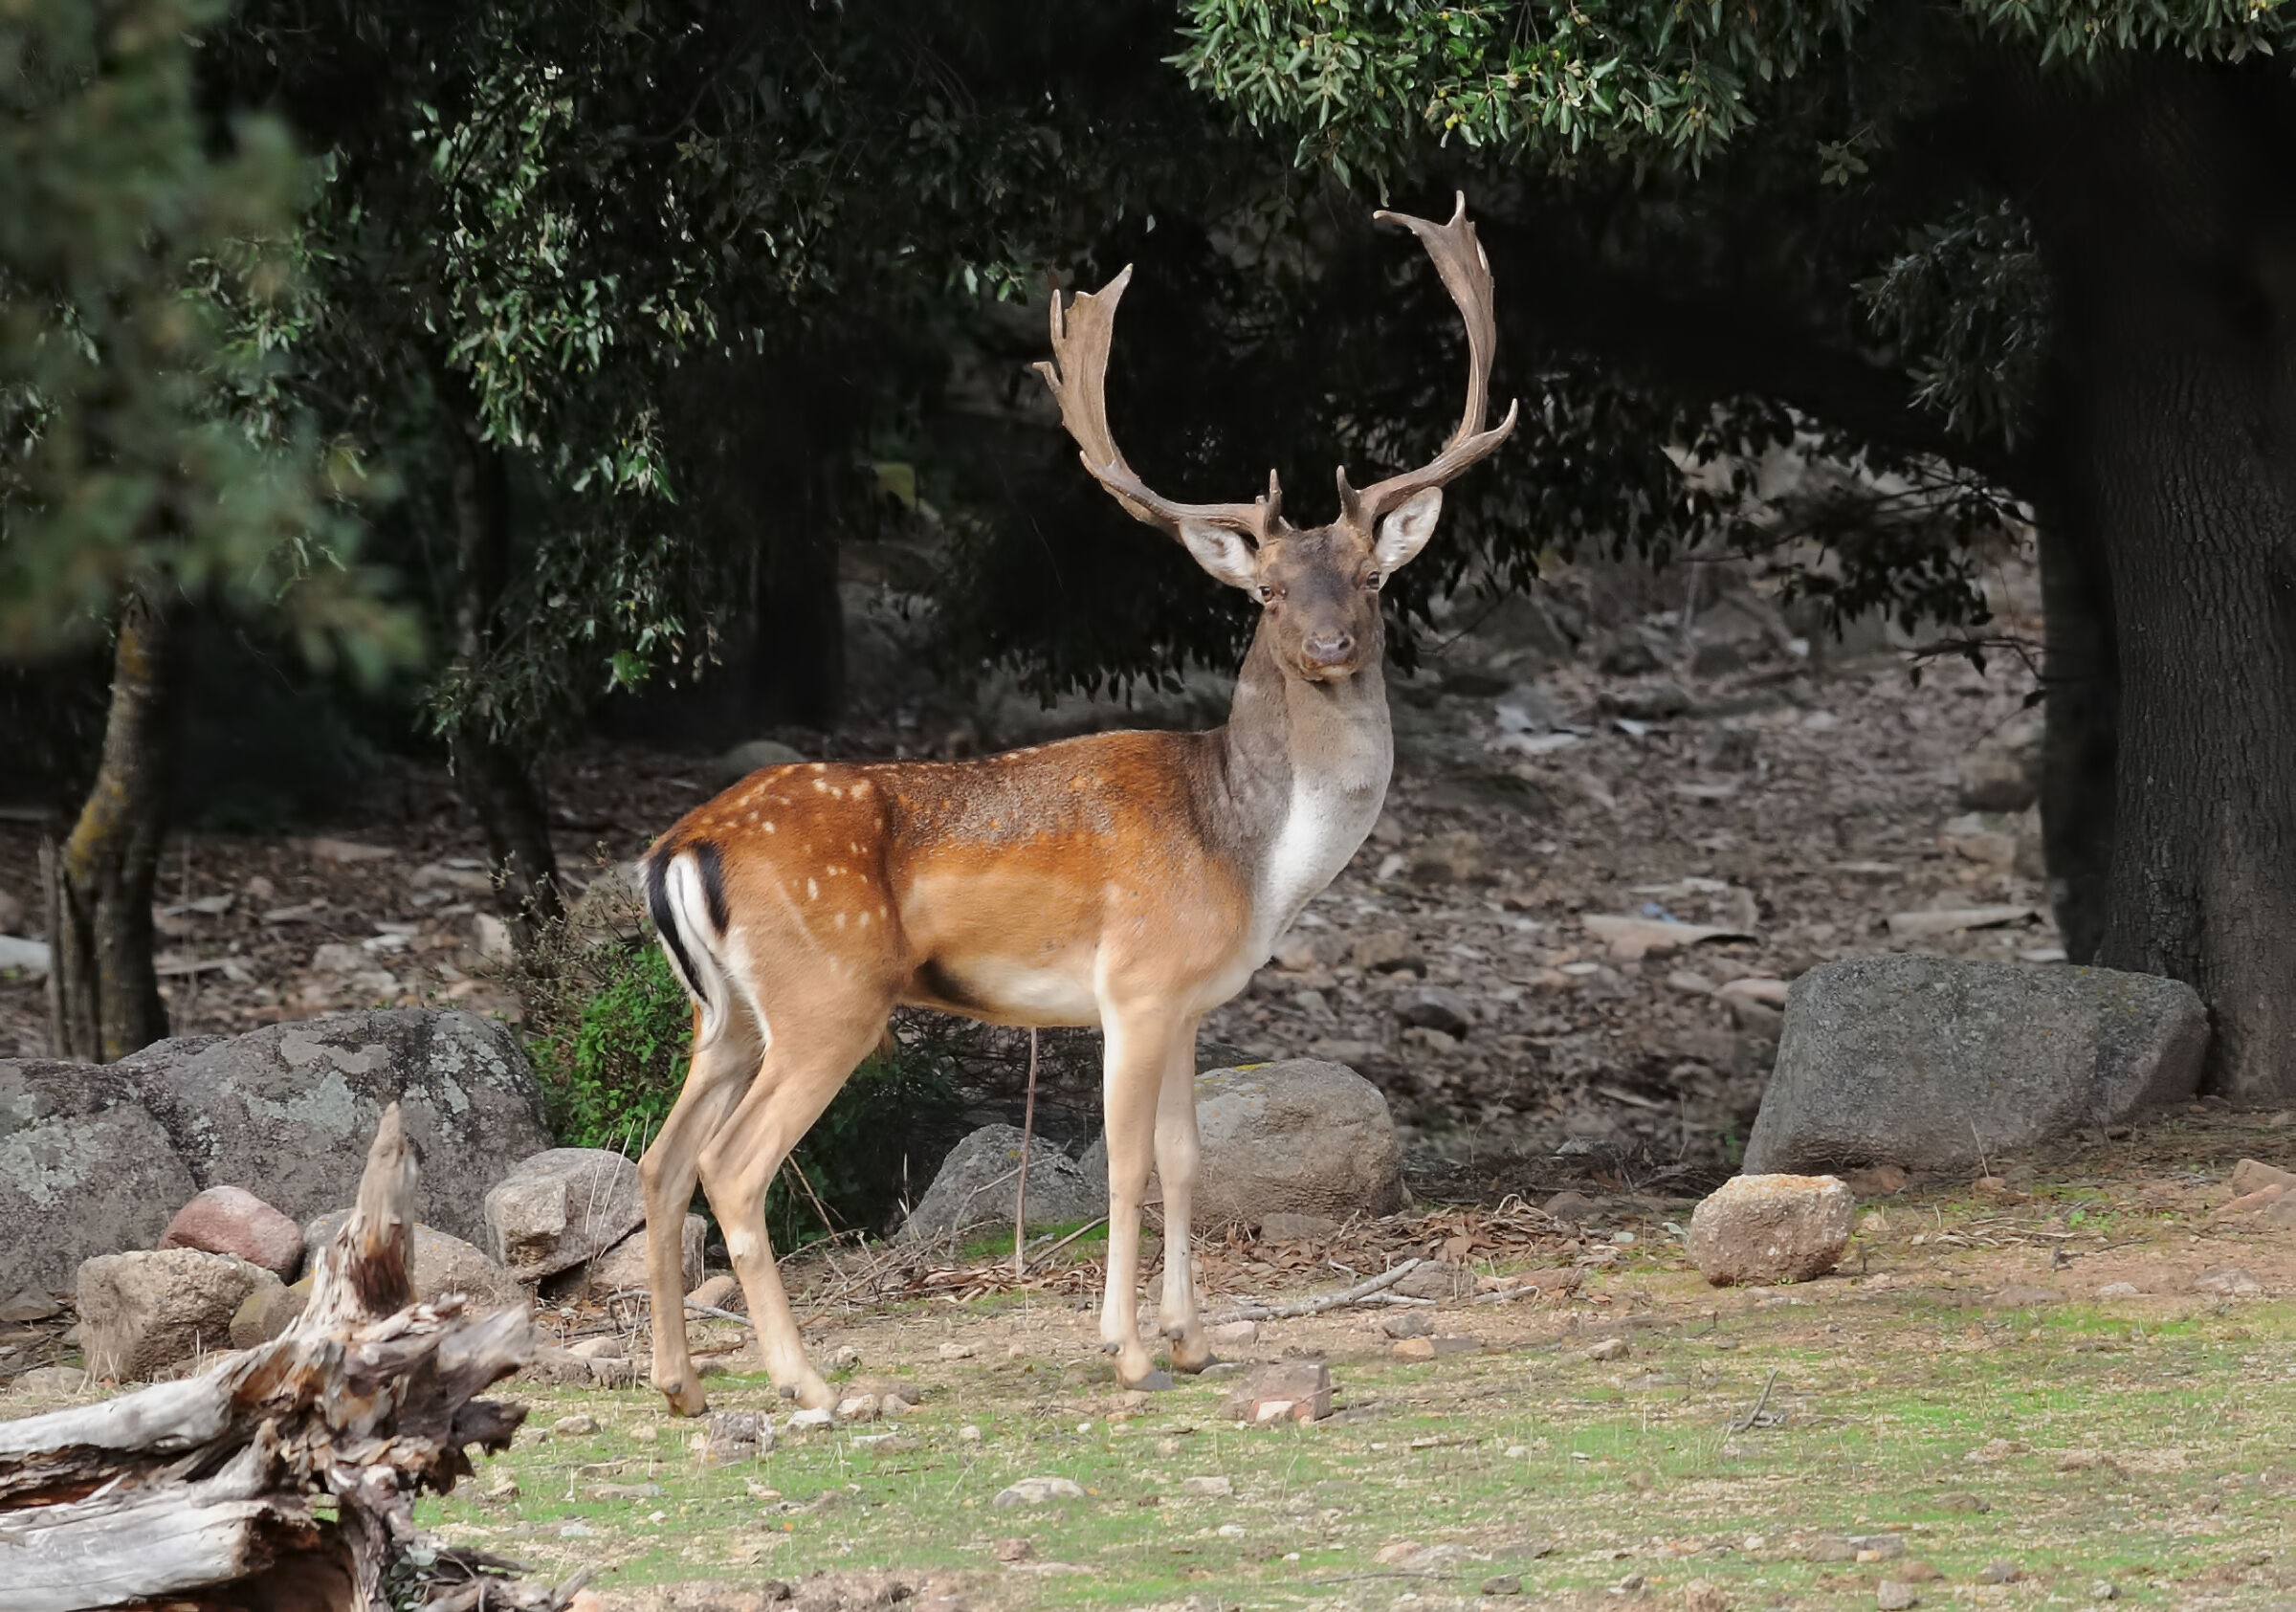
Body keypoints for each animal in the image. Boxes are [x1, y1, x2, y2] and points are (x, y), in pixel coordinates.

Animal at [635, 196, 1516, 1414]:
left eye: (1373, 578)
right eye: (1267, 591)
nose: (1333, 643)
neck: (1251, 855)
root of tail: (681, 845)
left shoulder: (1194, 1000)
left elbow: (1191, 1158)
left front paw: (1193, 1340)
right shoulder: (1134, 983)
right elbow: (1129, 1164)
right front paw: (1128, 1348)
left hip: (723, 1012)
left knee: (659, 1157)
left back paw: (682, 1386)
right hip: (828, 994)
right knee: (732, 1163)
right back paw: (813, 1382)